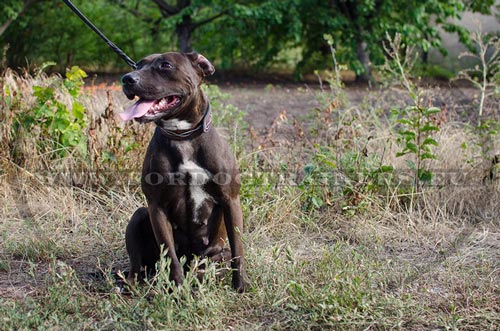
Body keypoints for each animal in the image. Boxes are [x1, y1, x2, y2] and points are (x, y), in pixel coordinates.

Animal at [119, 52, 248, 294]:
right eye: (138, 65)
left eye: (165, 65)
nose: (127, 78)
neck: (183, 136)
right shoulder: (156, 206)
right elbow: (169, 253)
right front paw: (177, 288)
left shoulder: (231, 201)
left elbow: (238, 248)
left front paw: (241, 284)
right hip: (139, 216)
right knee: (138, 264)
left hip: (214, 252)